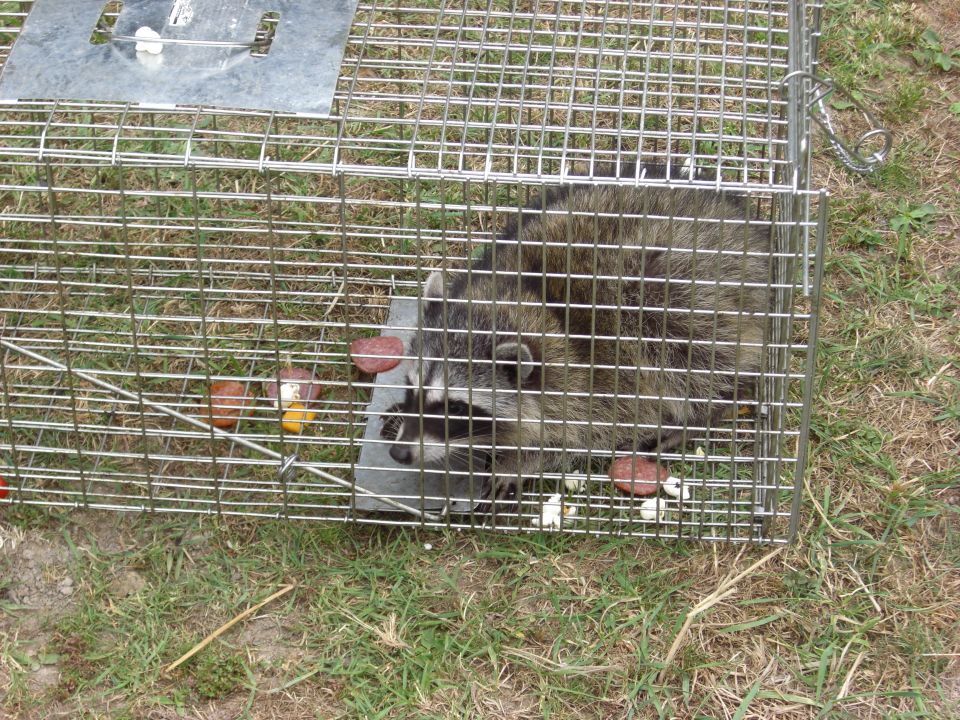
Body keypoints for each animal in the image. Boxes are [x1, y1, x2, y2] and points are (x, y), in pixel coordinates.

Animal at [381, 165, 771, 505]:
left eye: (457, 408)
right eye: (411, 387)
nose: (400, 453)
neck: (521, 300)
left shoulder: (599, 378)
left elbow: (584, 433)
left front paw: (520, 462)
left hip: (686, 291)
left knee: (695, 361)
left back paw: (701, 414)